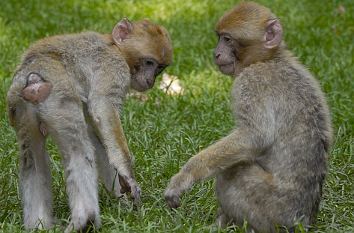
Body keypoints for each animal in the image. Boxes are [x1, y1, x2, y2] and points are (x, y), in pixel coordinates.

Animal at [7, 18, 173, 231]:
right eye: (149, 62)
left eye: (159, 68)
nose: (151, 80)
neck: (115, 47)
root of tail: (33, 80)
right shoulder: (114, 67)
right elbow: (103, 106)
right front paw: (127, 176)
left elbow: (95, 130)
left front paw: (122, 194)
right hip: (58, 92)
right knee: (78, 150)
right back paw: (85, 219)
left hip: (20, 105)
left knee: (32, 159)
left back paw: (39, 226)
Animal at [165, 2, 332, 233]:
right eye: (219, 37)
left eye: (227, 39)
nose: (216, 53)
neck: (268, 58)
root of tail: (304, 220)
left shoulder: (251, 82)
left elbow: (254, 136)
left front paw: (184, 176)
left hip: (272, 211)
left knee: (233, 171)